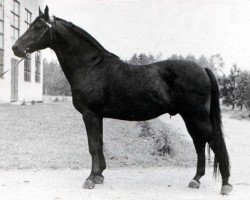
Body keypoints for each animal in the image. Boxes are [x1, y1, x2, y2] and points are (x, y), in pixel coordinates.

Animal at [12, 5, 232, 194]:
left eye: (38, 27)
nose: (15, 48)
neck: (91, 67)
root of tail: (202, 69)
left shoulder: (90, 115)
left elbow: (93, 145)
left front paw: (90, 179)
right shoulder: (97, 116)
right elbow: (99, 143)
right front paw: (99, 175)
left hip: (197, 117)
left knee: (214, 142)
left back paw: (225, 184)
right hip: (190, 118)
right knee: (199, 143)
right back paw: (196, 179)